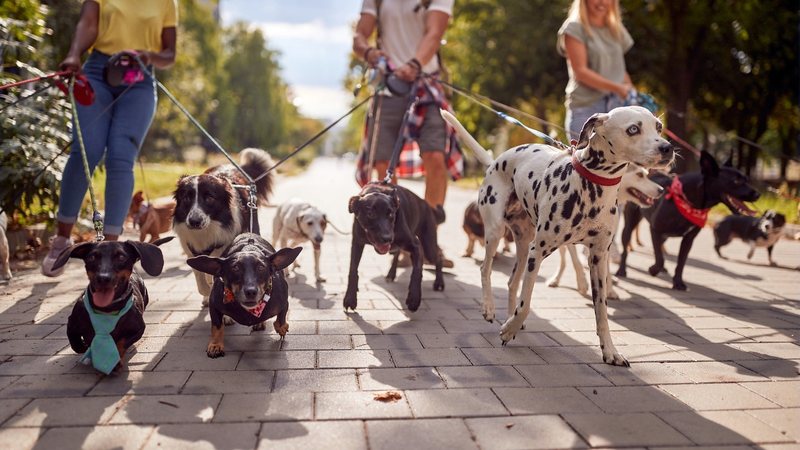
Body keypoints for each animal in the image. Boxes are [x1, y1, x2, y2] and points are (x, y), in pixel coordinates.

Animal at [173, 149, 276, 308]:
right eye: (186, 198)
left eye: (209, 198)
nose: (194, 222)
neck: (207, 230)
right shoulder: (190, 248)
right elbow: (201, 277)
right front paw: (207, 293)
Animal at [548, 163, 664, 300]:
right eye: (639, 175)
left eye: (646, 174)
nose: (661, 190)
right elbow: (575, 260)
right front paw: (582, 283)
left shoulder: (605, 240)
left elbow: (605, 268)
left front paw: (609, 290)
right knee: (563, 260)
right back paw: (555, 279)